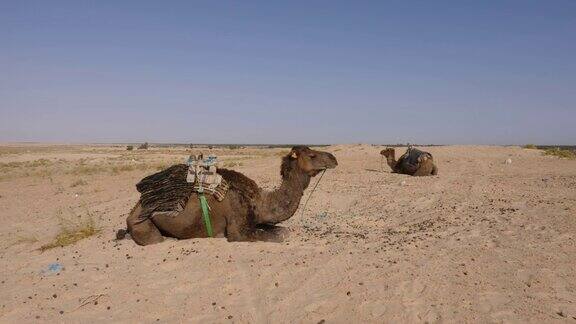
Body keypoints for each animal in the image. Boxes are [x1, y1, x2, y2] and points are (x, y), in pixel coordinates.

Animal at [121, 147, 338, 246]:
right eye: (311, 155)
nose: (333, 158)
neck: (259, 202)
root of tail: (134, 210)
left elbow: (282, 230)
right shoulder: (238, 231)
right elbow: (280, 235)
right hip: (143, 225)